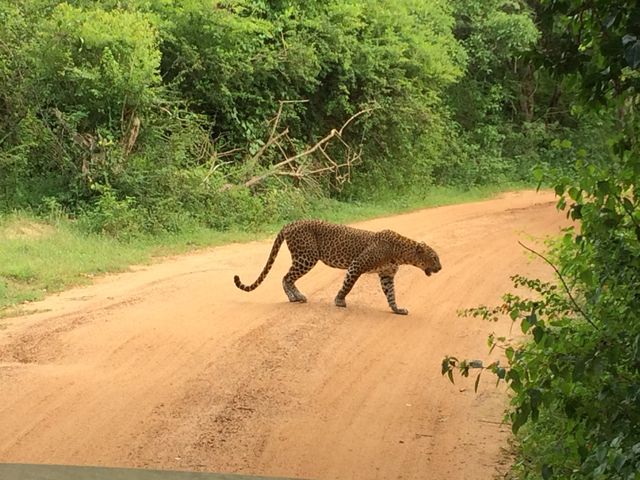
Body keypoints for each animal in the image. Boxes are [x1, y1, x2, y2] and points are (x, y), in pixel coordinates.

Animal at [234, 218, 440, 316]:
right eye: (434, 257)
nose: (441, 267)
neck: (402, 253)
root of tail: (291, 223)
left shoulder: (386, 275)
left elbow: (391, 295)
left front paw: (397, 309)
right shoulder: (357, 264)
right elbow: (347, 285)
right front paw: (339, 301)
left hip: (304, 257)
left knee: (287, 277)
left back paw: (295, 297)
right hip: (307, 257)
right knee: (286, 277)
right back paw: (296, 297)